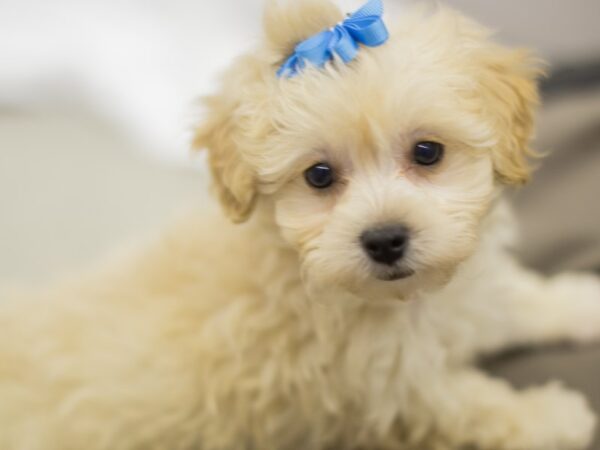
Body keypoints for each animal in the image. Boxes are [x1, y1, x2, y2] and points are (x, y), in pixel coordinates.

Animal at [1, 0, 600, 450]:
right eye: (319, 176)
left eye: (427, 152)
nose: (385, 239)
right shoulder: (389, 394)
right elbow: (475, 406)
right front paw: (555, 416)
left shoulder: (462, 299)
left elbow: (513, 299)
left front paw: (579, 303)